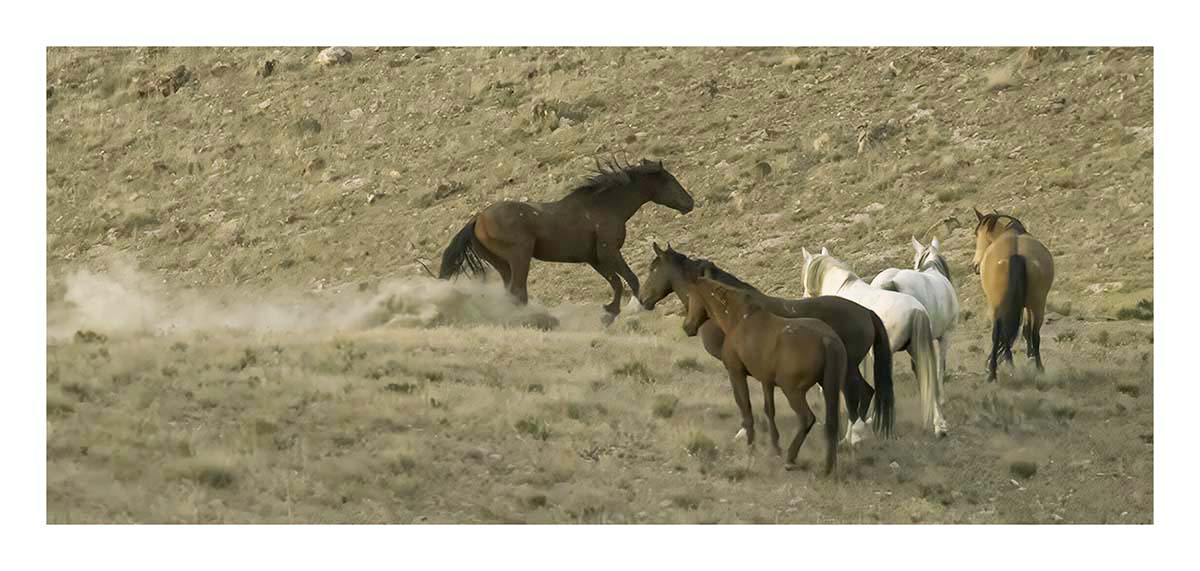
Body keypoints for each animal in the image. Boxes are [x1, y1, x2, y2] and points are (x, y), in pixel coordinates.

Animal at [437, 159, 694, 324]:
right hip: (519, 257)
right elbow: (630, 279)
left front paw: (609, 313)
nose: (689, 203)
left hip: (503, 263)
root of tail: (477, 219)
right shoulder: (609, 252)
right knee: (519, 292)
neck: (604, 207)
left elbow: (616, 283)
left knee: (512, 292)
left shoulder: (594, 259)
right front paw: (635, 309)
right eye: (670, 180)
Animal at [639, 243, 895, 445]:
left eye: (653, 269)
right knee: (866, 392)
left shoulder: (735, 367)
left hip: (847, 367)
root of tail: (865, 312)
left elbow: (742, 400)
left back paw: (852, 438)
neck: (727, 309)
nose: (643, 299)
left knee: (856, 394)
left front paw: (744, 433)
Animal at [681, 277, 847, 475]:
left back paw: (791, 459)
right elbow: (770, 410)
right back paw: (828, 468)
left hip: (793, 392)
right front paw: (775, 448)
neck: (739, 319)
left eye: (690, 296)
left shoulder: (736, 373)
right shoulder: (766, 381)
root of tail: (826, 339)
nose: (687, 327)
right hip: (830, 389)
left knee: (807, 419)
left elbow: (745, 407)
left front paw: (750, 446)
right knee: (831, 423)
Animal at [971, 208, 1055, 381]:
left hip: (996, 305)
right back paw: (1039, 368)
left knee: (998, 333)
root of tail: (1016, 254)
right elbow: (1026, 330)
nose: (975, 265)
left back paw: (993, 371)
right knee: (1034, 333)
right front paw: (1029, 359)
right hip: (1038, 303)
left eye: (977, 234)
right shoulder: (1027, 306)